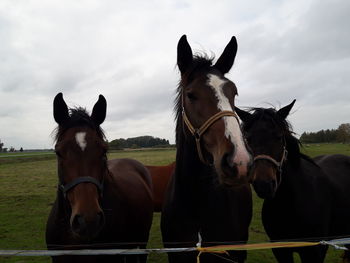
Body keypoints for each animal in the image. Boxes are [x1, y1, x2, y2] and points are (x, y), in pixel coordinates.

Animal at [235, 100, 350, 262]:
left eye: (279, 137)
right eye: (248, 139)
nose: (264, 185)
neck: (289, 202)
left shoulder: (315, 251)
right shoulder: (280, 250)